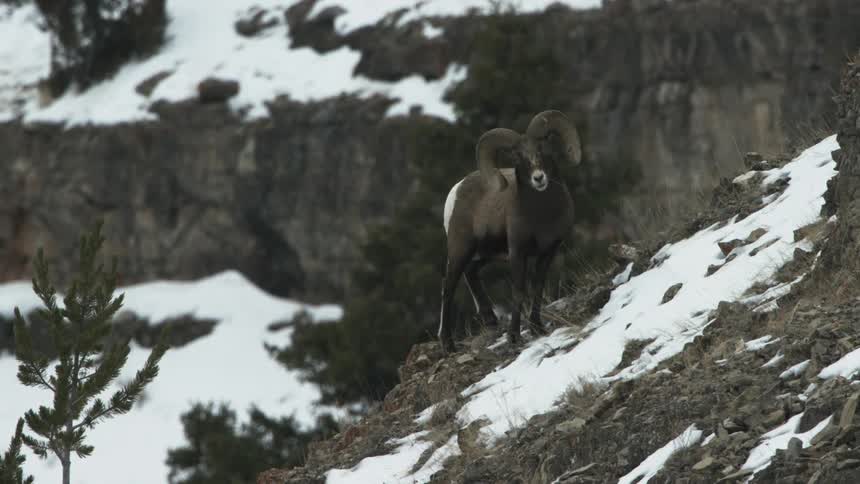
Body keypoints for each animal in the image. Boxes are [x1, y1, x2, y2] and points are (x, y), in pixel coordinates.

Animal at [439, 110, 582, 353]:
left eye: (542, 147)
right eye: (517, 157)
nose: (538, 178)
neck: (543, 214)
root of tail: (456, 190)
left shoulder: (548, 251)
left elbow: (537, 287)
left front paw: (537, 328)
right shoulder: (518, 252)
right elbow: (518, 291)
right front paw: (514, 336)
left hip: (485, 253)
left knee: (471, 272)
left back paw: (490, 320)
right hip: (460, 250)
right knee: (448, 289)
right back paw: (448, 345)